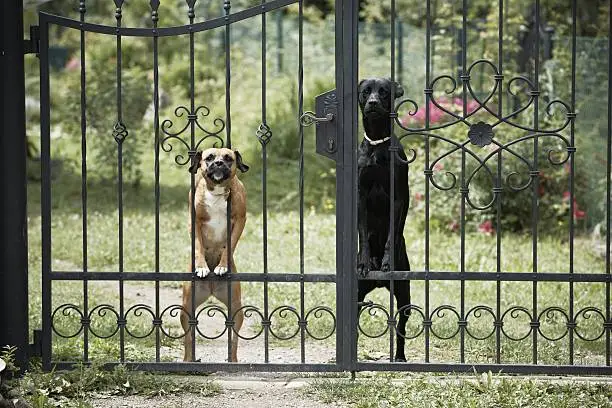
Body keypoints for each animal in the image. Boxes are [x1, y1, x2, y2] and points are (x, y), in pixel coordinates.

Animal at [180, 146, 250, 360]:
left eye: (228, 158)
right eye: (209, 157)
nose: (218, 163)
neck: (217, 192)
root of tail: (211, 289)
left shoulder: (239, 220)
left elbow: (228, 247)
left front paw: (222, 266)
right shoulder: (194, 221)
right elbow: (199, 246)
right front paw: (202, 267)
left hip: (236, 310)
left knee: (233, 341)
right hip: (186, 309)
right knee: (188, 340)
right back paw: (188, 361)